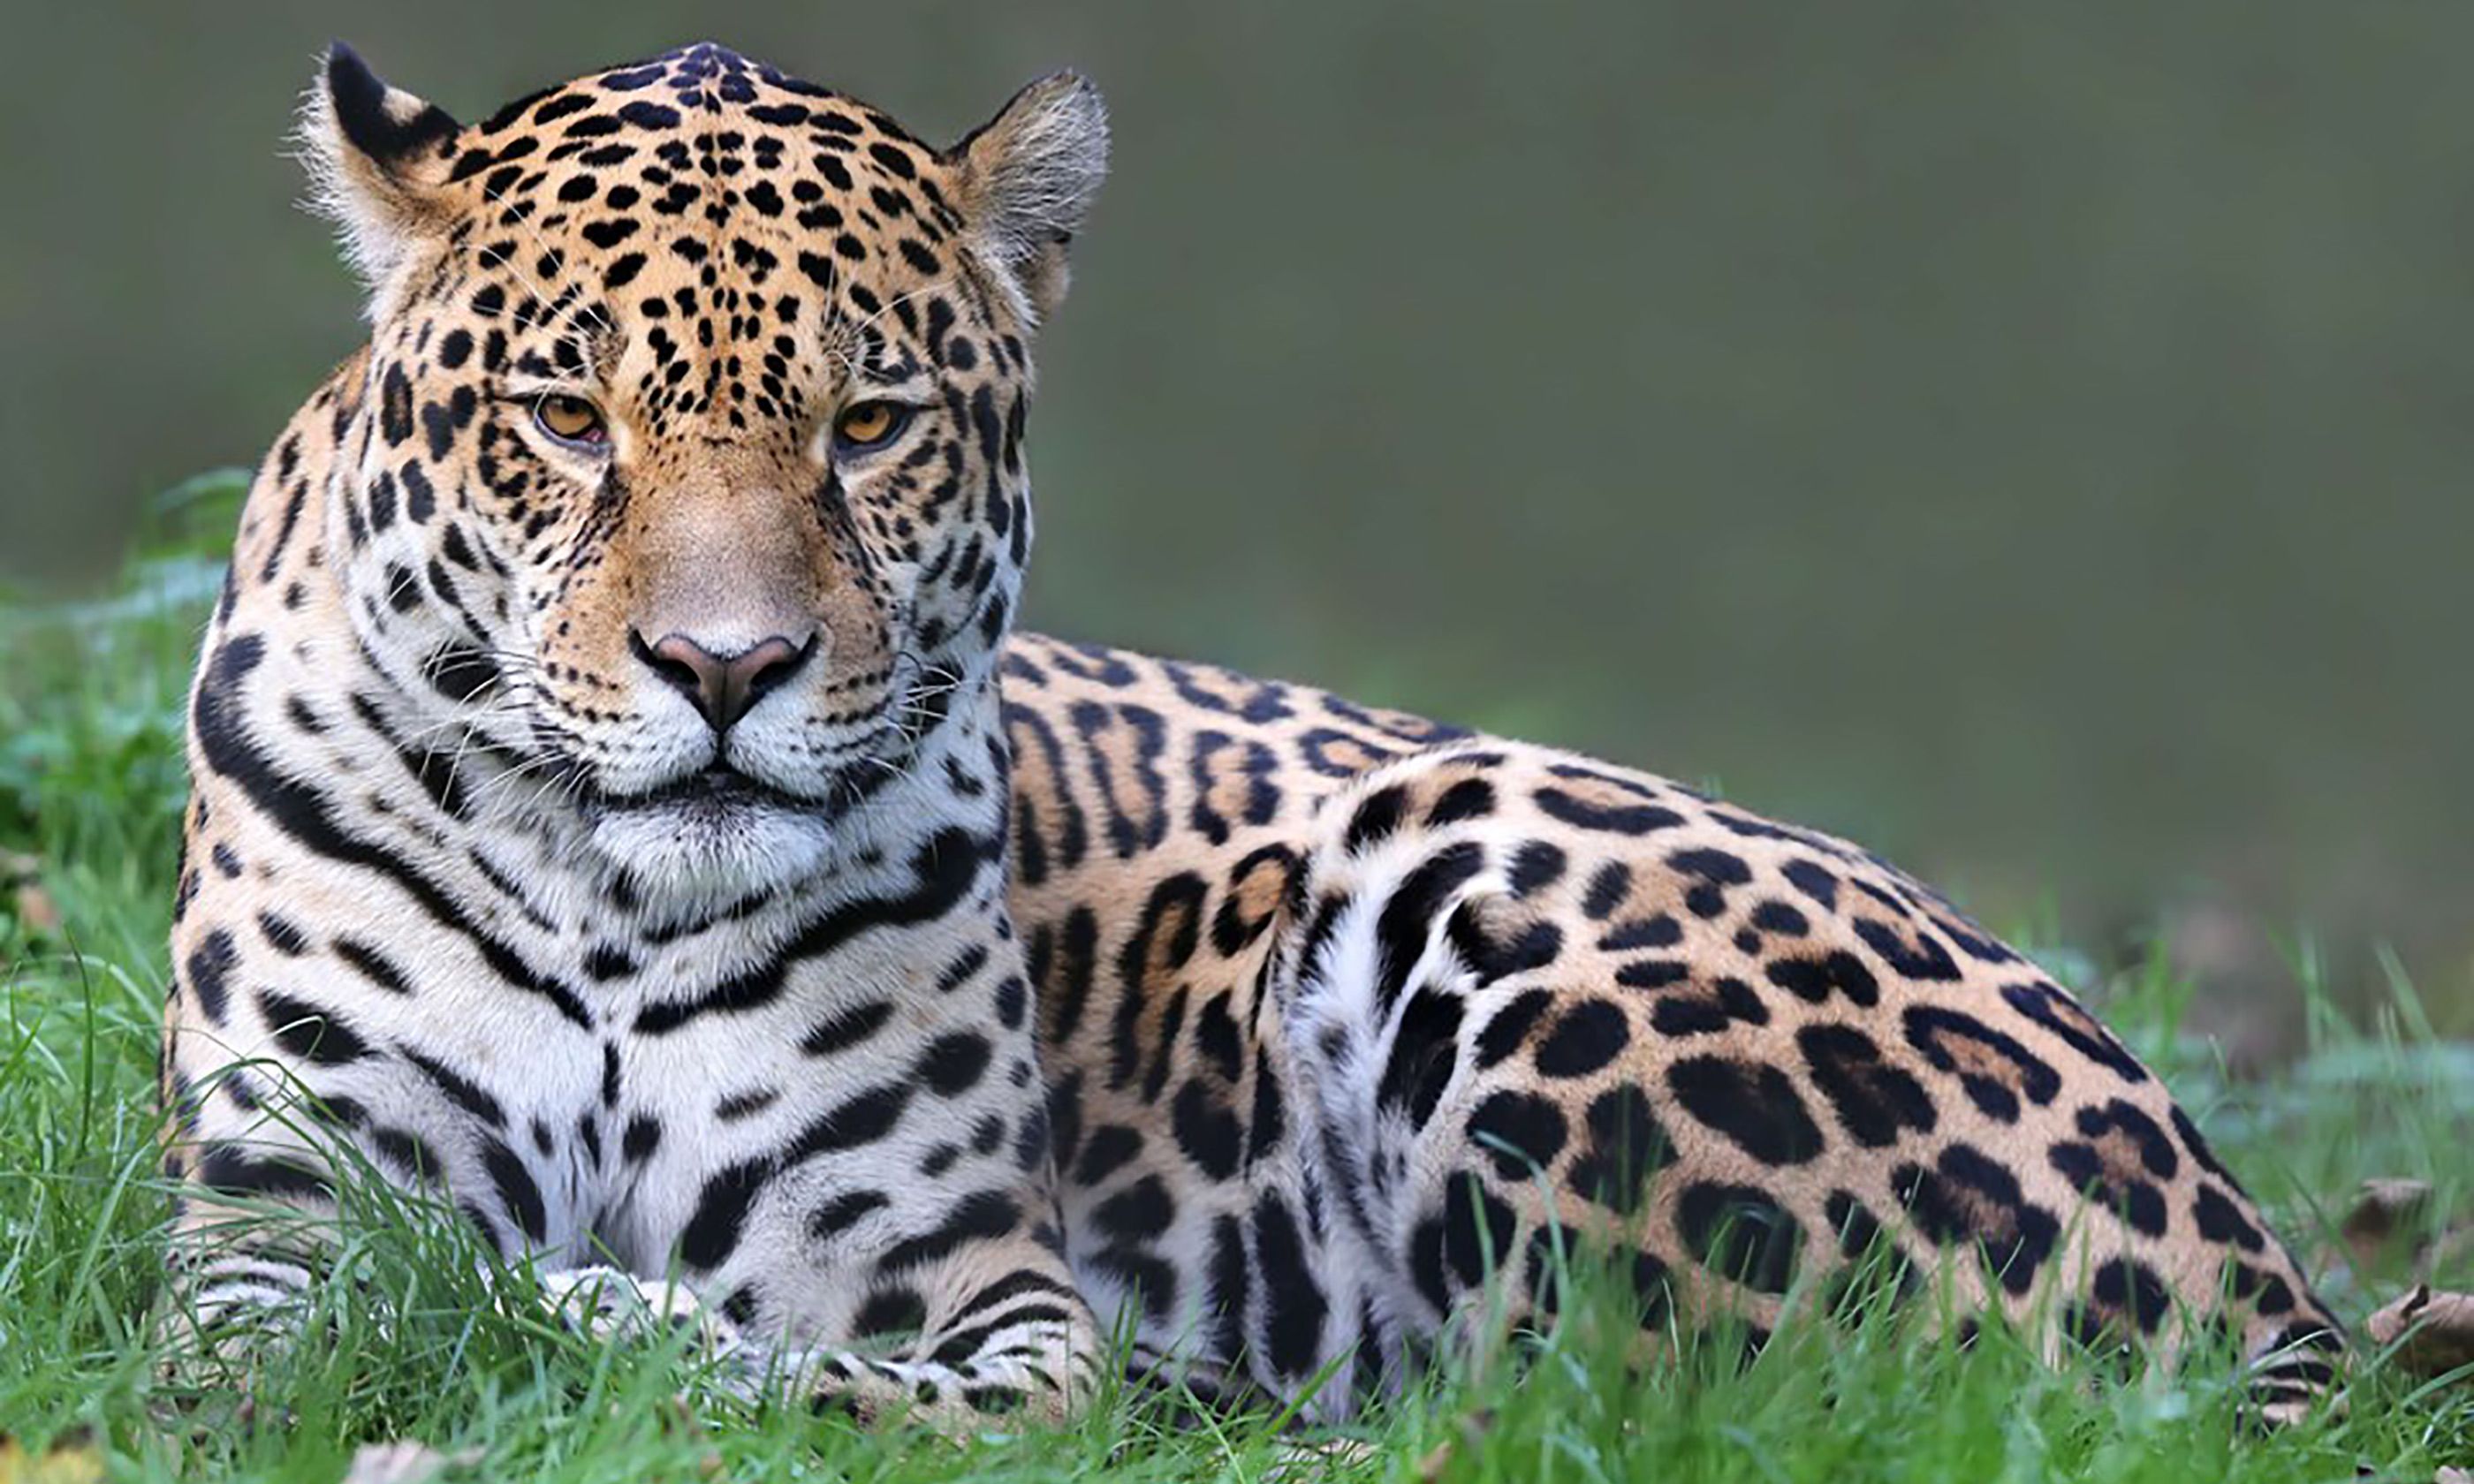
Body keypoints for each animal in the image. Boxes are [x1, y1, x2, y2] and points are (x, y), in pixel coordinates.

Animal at [160, 40, 2342, 1431]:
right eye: (564, 417)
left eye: (868, 425)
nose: (726, 668)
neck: (622, 911)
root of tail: (2278, 1280)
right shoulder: (261, 1211)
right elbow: (301, 1336)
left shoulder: (979, 1287)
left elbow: (854, 1389)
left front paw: (570, 1309)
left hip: (1469, 844)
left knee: (1661, 1408)